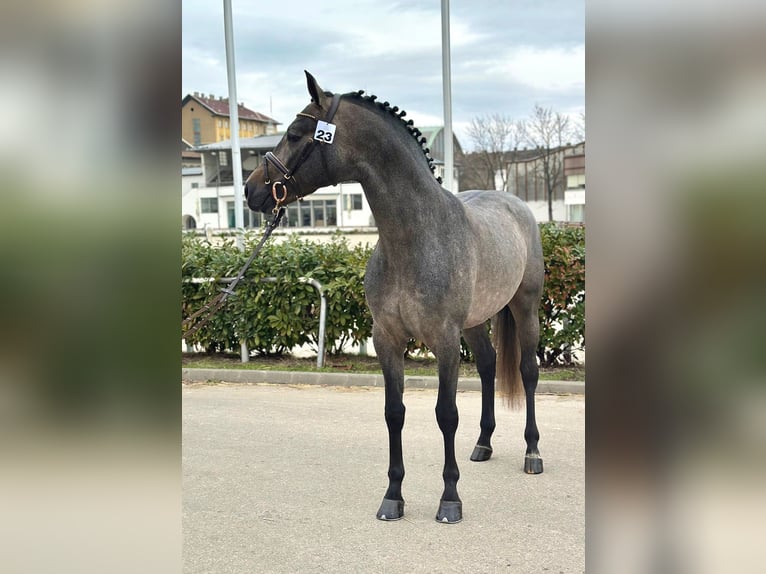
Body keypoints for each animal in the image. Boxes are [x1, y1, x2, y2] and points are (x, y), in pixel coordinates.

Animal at [245, 71, 544, 524]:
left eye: (296, 134)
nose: (251, 190)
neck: (415, 238)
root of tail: (516, 205)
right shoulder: (386, 338)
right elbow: (394, 413)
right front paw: (393, 496)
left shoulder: (444, 341)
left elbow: (446, 415)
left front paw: (450, 499)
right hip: (475, 323)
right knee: (489, 366)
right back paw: (483, 444)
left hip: (525, 308)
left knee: (527, 371)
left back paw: (532, 453)